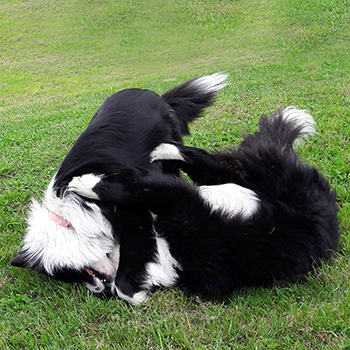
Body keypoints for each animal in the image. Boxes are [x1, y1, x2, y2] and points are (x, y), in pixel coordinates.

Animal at [10, 73, 228, 304]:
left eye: (69, 274)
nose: (101, 293)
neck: (70, 217)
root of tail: (157, 96)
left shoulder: (136, 218)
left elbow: (123, 282)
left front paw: (137, 294)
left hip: (168, 157)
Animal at [67, 106, 340, 304]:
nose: (97, 287)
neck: (167, 250)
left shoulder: (177, 201)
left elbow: (133, 190)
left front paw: (86, 183)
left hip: (256, 174)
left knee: (203, 157)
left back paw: (163, 149)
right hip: (225, 177)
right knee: (202, 160)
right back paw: (164, 149)